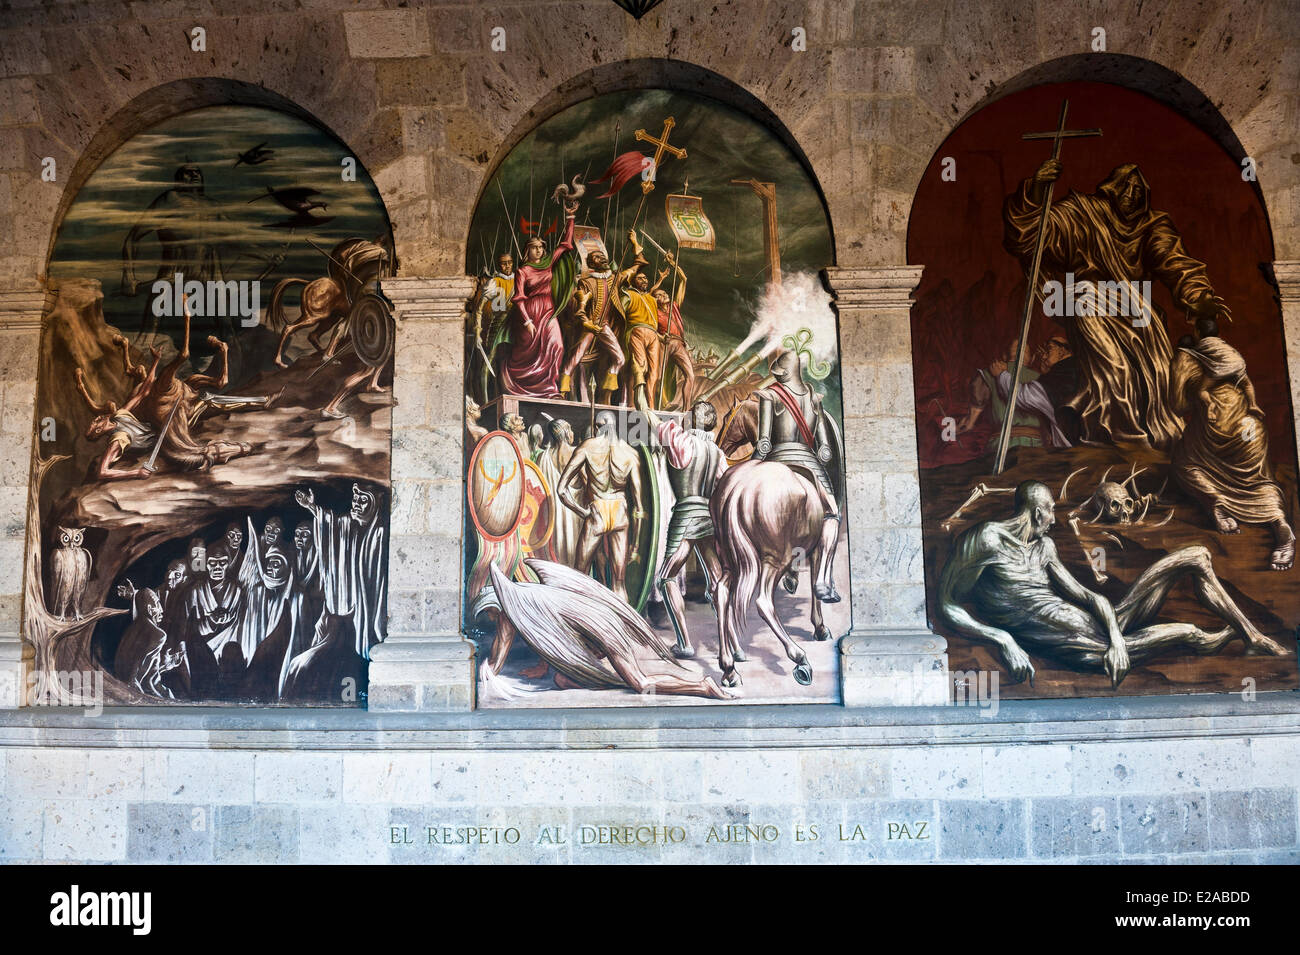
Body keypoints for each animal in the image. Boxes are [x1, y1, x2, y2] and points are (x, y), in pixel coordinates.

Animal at [712, 457, 832, 686]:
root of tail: (738, 488)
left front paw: (793, 580)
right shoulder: (817, 543)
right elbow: (816, 583)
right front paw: (821, 626)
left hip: (730, 560)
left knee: (720, 592)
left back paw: (729, 669)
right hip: (775, 559)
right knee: (764, 602)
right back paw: (800, 659)